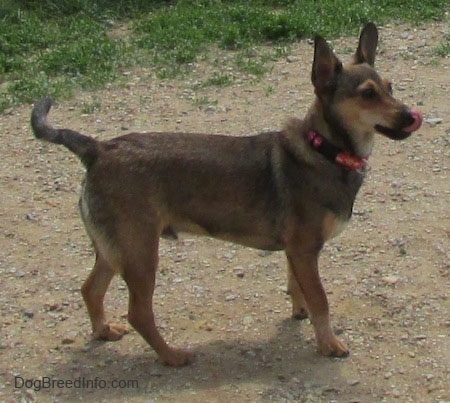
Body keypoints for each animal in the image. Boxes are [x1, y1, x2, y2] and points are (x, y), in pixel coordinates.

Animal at [30, 23, 422, 368]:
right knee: (138, 312)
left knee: (90, 290)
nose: (411, 115)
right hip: (140, 253)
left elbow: (297, 286)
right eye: (368, 94)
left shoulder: (296, 252)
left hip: (114, 249)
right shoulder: (305, 248)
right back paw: (172, 356)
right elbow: (321, 301)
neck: (324, 148)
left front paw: (300, 312)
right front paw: (329, 344)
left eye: (390, 87)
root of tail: (98, 149)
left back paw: (103, 330)